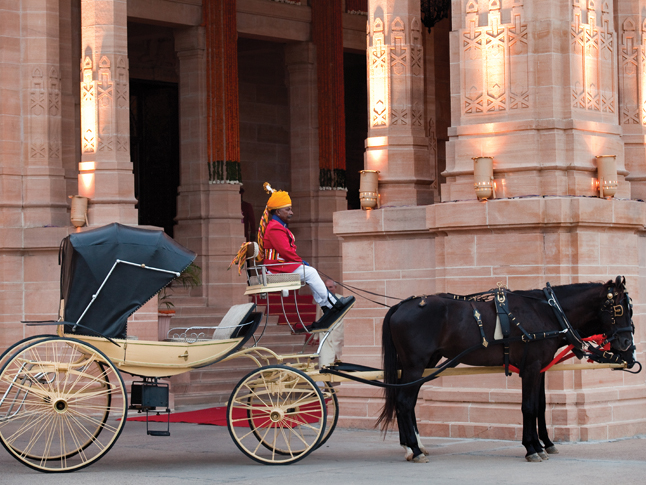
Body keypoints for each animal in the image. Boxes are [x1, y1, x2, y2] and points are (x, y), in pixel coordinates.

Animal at [380, 276, 636, 462]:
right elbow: (528, 407)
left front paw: (543, 444)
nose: (627, 344)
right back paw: (415, 449)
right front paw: (532, 448)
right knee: (404, 402)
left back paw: (412, 446)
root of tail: (401, 304)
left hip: (424, 365)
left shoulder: (539, 369)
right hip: (415, 365)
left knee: (407, 402)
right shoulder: (531, 368)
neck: (549, 312)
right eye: (619, 309)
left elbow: (539, 406)